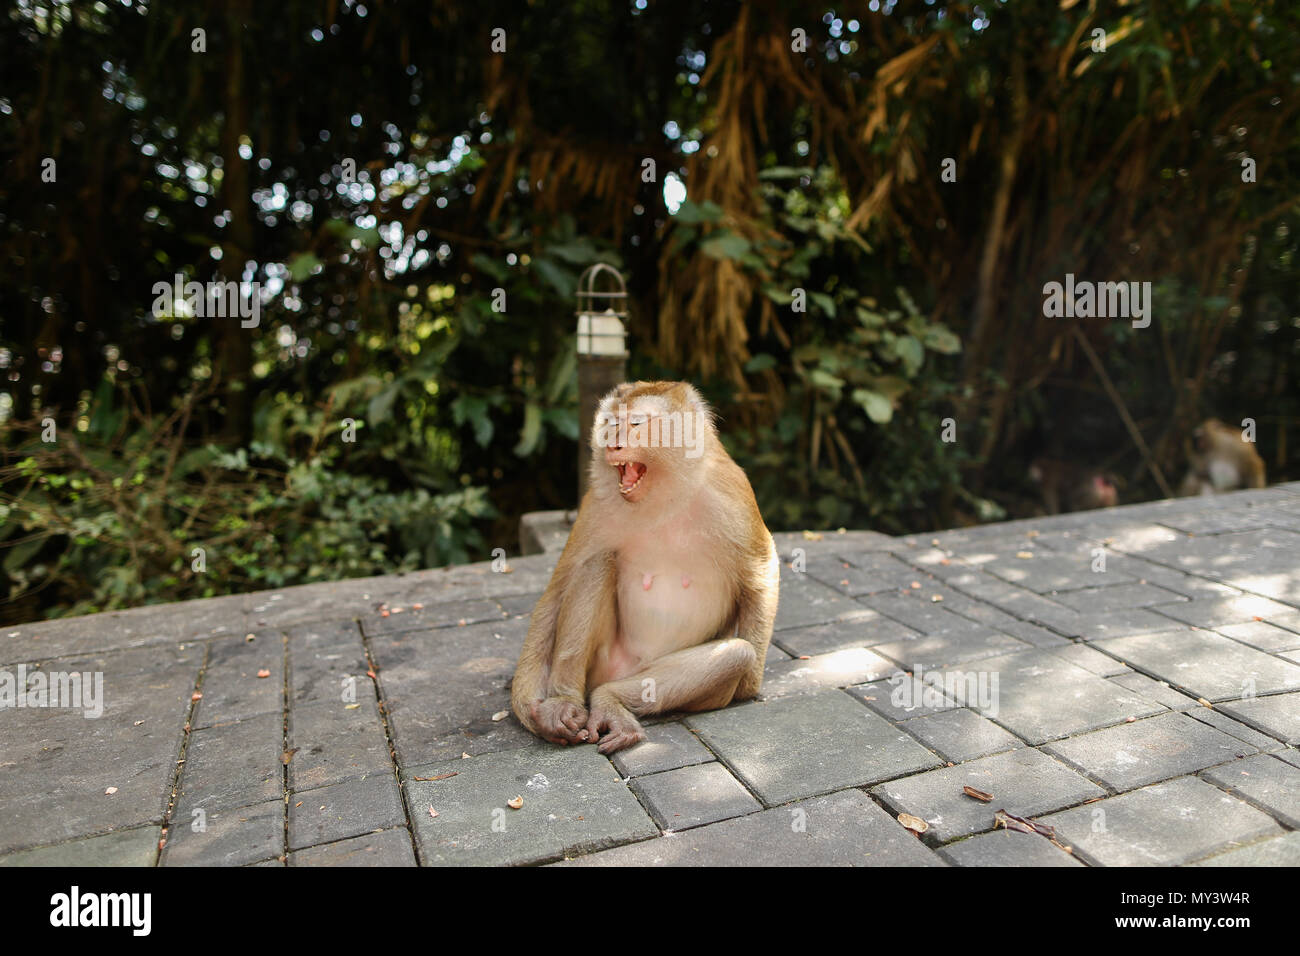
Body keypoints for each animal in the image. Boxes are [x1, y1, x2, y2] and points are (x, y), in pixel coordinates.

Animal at [506, 382, 774, 754]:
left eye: (635, 423)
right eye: (610, 424)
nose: (613, 443)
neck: (663, 499)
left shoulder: (732, 493)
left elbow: (760, 572)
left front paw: (749, 686)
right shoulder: (596, 502)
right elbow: (558, 590)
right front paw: (533, 706)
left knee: (737, 654)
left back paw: (610, 700)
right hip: (601, 663)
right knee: (595, 565)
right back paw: (565, 701)